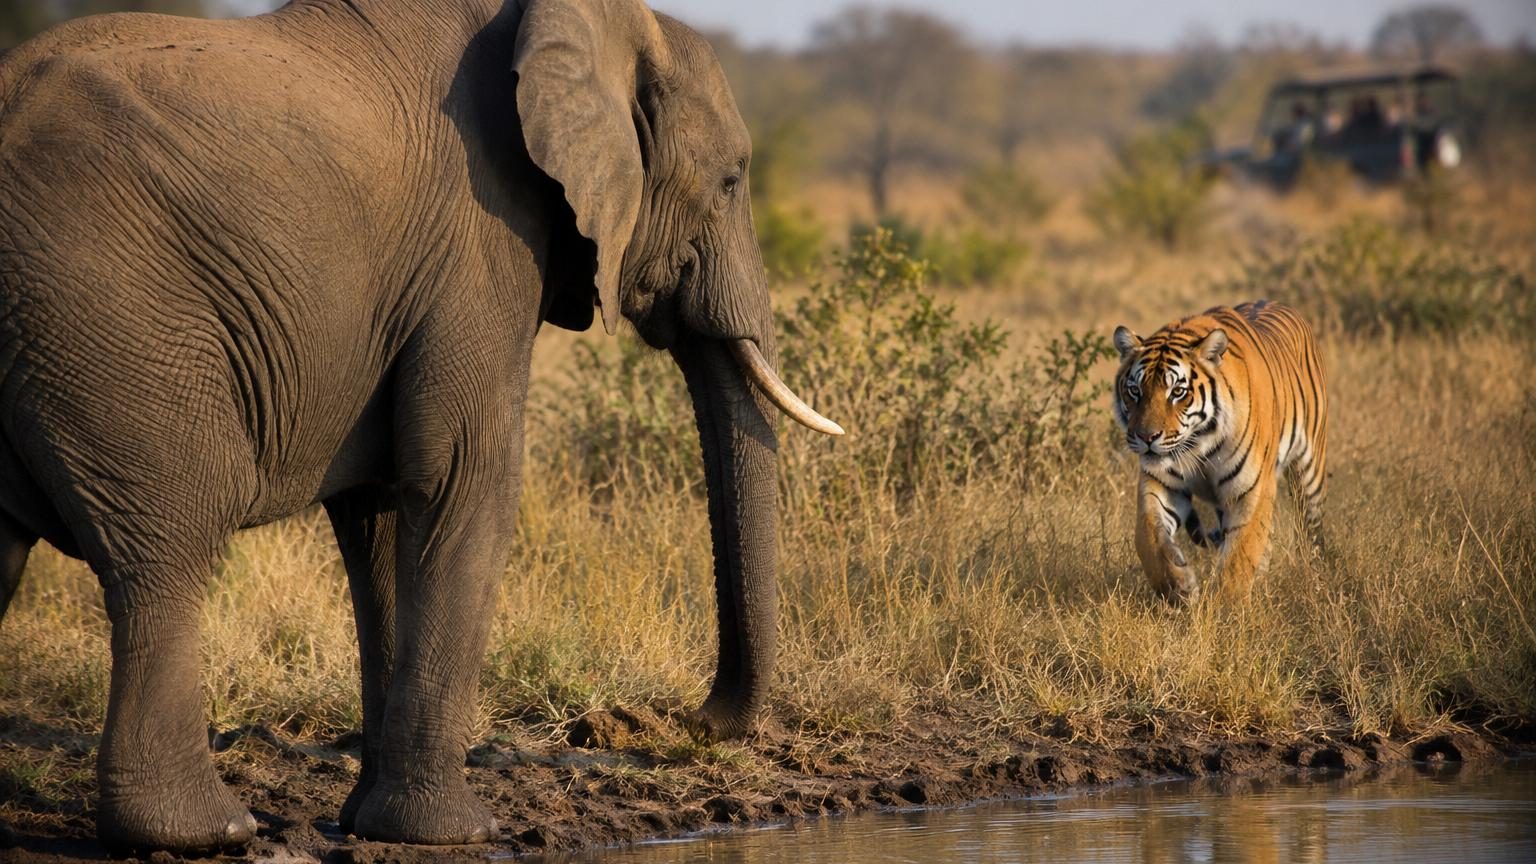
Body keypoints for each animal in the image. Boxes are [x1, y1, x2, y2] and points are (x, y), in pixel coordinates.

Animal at [0, 0, 841, 851]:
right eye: (731, 181)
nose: (684, 721)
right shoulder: (483, 234)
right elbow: (464, 476)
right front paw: (454, 832)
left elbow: (382, 511)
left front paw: (369, 823)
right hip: (111, 319)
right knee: (171, 545)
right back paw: (208, 831)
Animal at [1111, 300, 1327, 604]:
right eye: (1134, 391)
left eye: (1177, 392)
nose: (1146, 437)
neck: (1200, 442)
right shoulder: (1161, 482)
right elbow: (1147, 535)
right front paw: (1179, 586)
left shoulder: (1251, 490)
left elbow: (1240, 556)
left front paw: (1227, 607)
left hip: (1310, 472)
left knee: (1312, 531)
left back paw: (1317, 580)